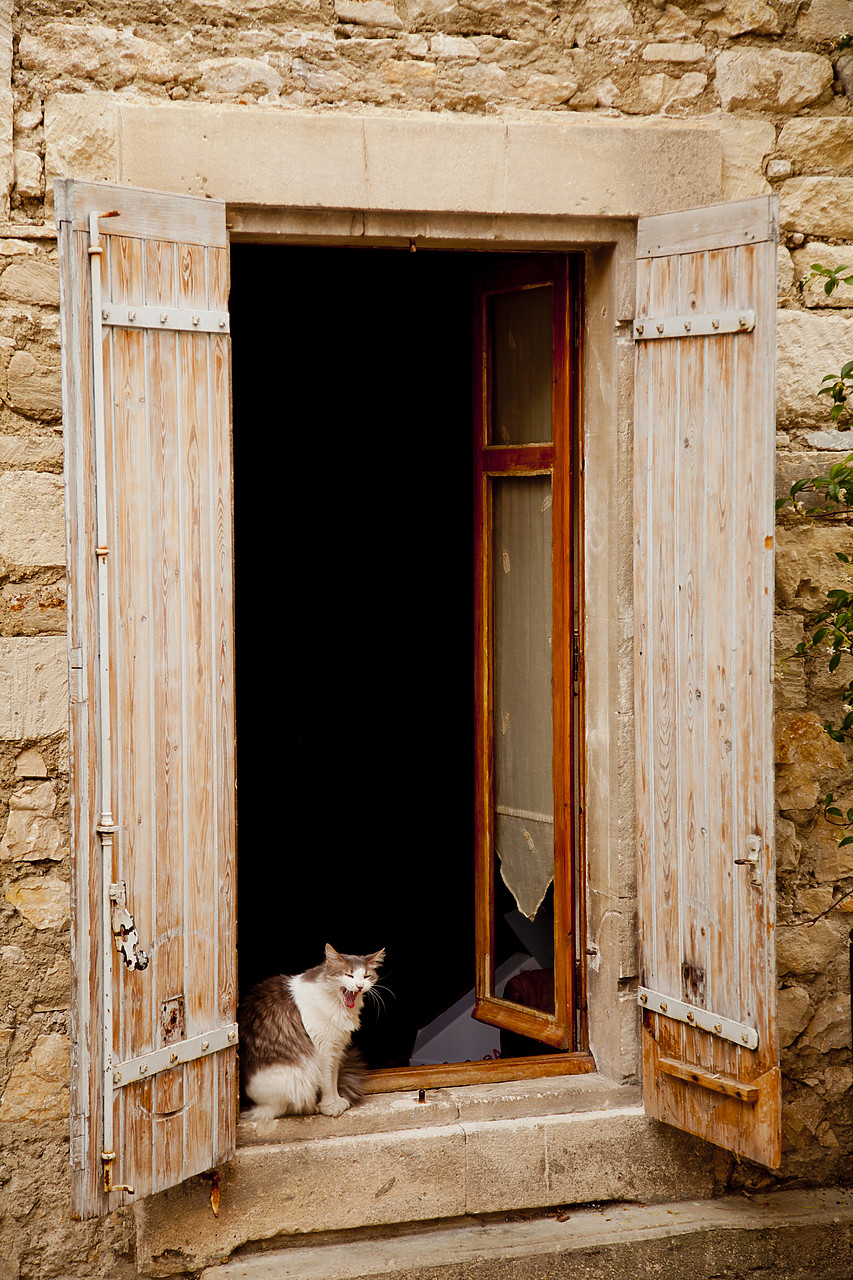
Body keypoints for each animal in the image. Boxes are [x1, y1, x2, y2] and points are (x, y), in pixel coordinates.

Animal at [239, 942, 384, 1121]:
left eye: (366, 976)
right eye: (349, 975)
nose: (359, 986)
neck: (338, 1005)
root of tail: (253, 1105)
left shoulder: (335, 1048)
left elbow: (333, 1078)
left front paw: (337, 1100)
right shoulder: (323, 1049)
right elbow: (327, 1081)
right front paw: (329, 1105)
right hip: (297, 1076)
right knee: (286, 1107)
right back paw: (311, 1107)